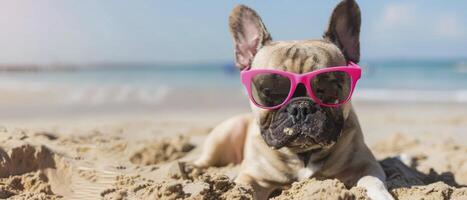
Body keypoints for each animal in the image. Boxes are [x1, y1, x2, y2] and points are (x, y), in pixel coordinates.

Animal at [194, 0, 394, 199]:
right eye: (270, 92)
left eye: (330, 89)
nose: (301, 107)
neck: (303, 154)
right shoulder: (252, 177)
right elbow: (243, 189)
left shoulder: (366, 165)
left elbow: (373, 181)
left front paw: (381, 195)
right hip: (225, 133)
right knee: (205, 159)